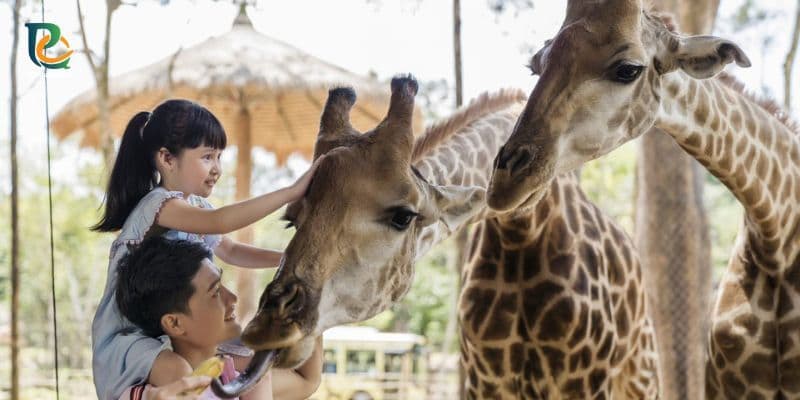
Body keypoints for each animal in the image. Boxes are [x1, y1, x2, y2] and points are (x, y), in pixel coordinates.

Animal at [223, 75, 661, 398]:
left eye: (403, 216)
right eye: (291, 219)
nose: (268, 326)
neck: (526, 230)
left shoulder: (582, 383)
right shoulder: (484, 381)